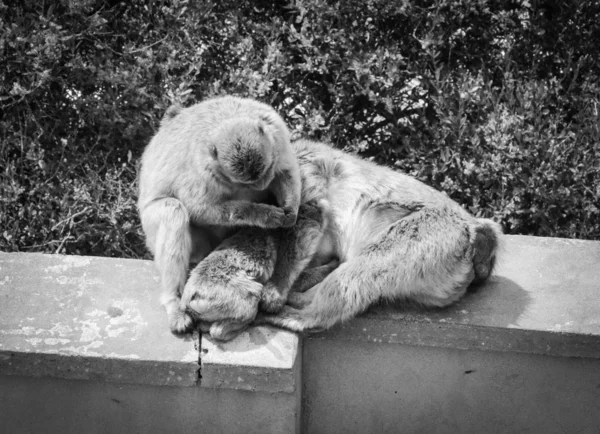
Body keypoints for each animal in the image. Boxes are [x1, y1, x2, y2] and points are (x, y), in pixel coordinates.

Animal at [138, 96, 302, 332]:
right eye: (248, 181)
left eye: (266, 170)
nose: (261, 184)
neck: (228, 117)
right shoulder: (202, 168)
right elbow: (198, 207)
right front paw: (263, 215)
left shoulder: (277, 133)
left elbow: (286, 170)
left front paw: (291, 209)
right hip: (152, 230)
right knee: (173, 212)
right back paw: (174, 303)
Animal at [182, 201, 330, 342]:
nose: (319, 205)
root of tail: (191, 296)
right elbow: (299, 277)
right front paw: (330, 266)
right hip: (235, 296)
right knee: (219, 329)